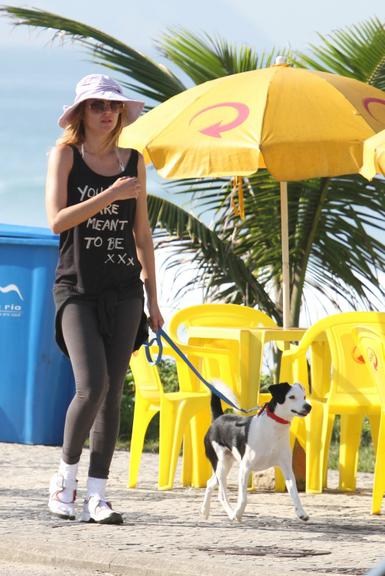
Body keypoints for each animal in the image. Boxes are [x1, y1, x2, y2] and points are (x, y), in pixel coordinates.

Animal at [201, 382, 312, 520]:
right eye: (291, 397)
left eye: (304, 397)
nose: (308, 406)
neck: (273, 428)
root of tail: (218, 418)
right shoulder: (245, 468)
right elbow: (243, 498)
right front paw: (238, 513)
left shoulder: (287, 468)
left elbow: (294, 492)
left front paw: (301, 512)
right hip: (221, 464)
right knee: (221, 494)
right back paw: (231, 513)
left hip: (225, 465)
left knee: (210, 483)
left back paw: (205, 511)